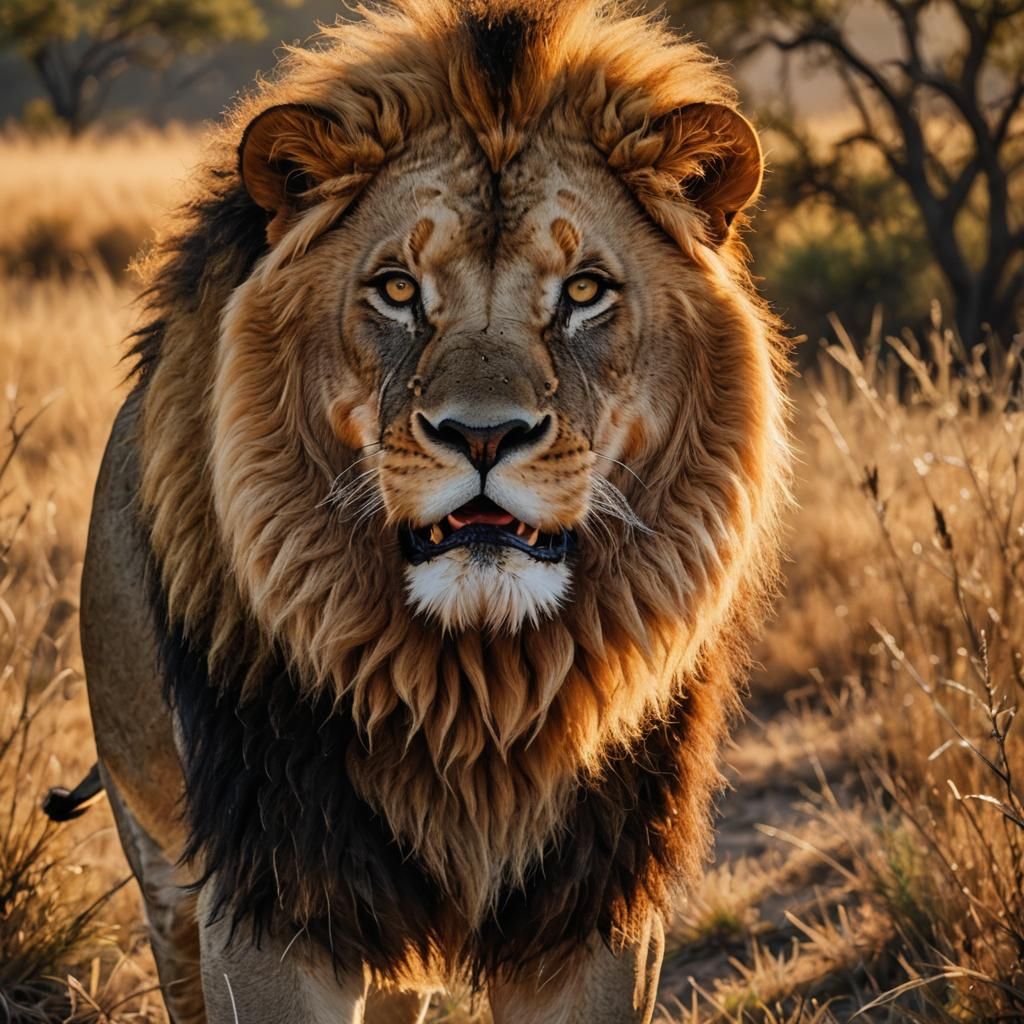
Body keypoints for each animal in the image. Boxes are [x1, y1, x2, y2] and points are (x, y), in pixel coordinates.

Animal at [58, 1, 790, 1020]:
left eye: (584, 291)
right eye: (399, 289)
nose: (483, 436)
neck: (474, 690)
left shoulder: (599, 899)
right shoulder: (270, 892)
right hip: (162, 872)